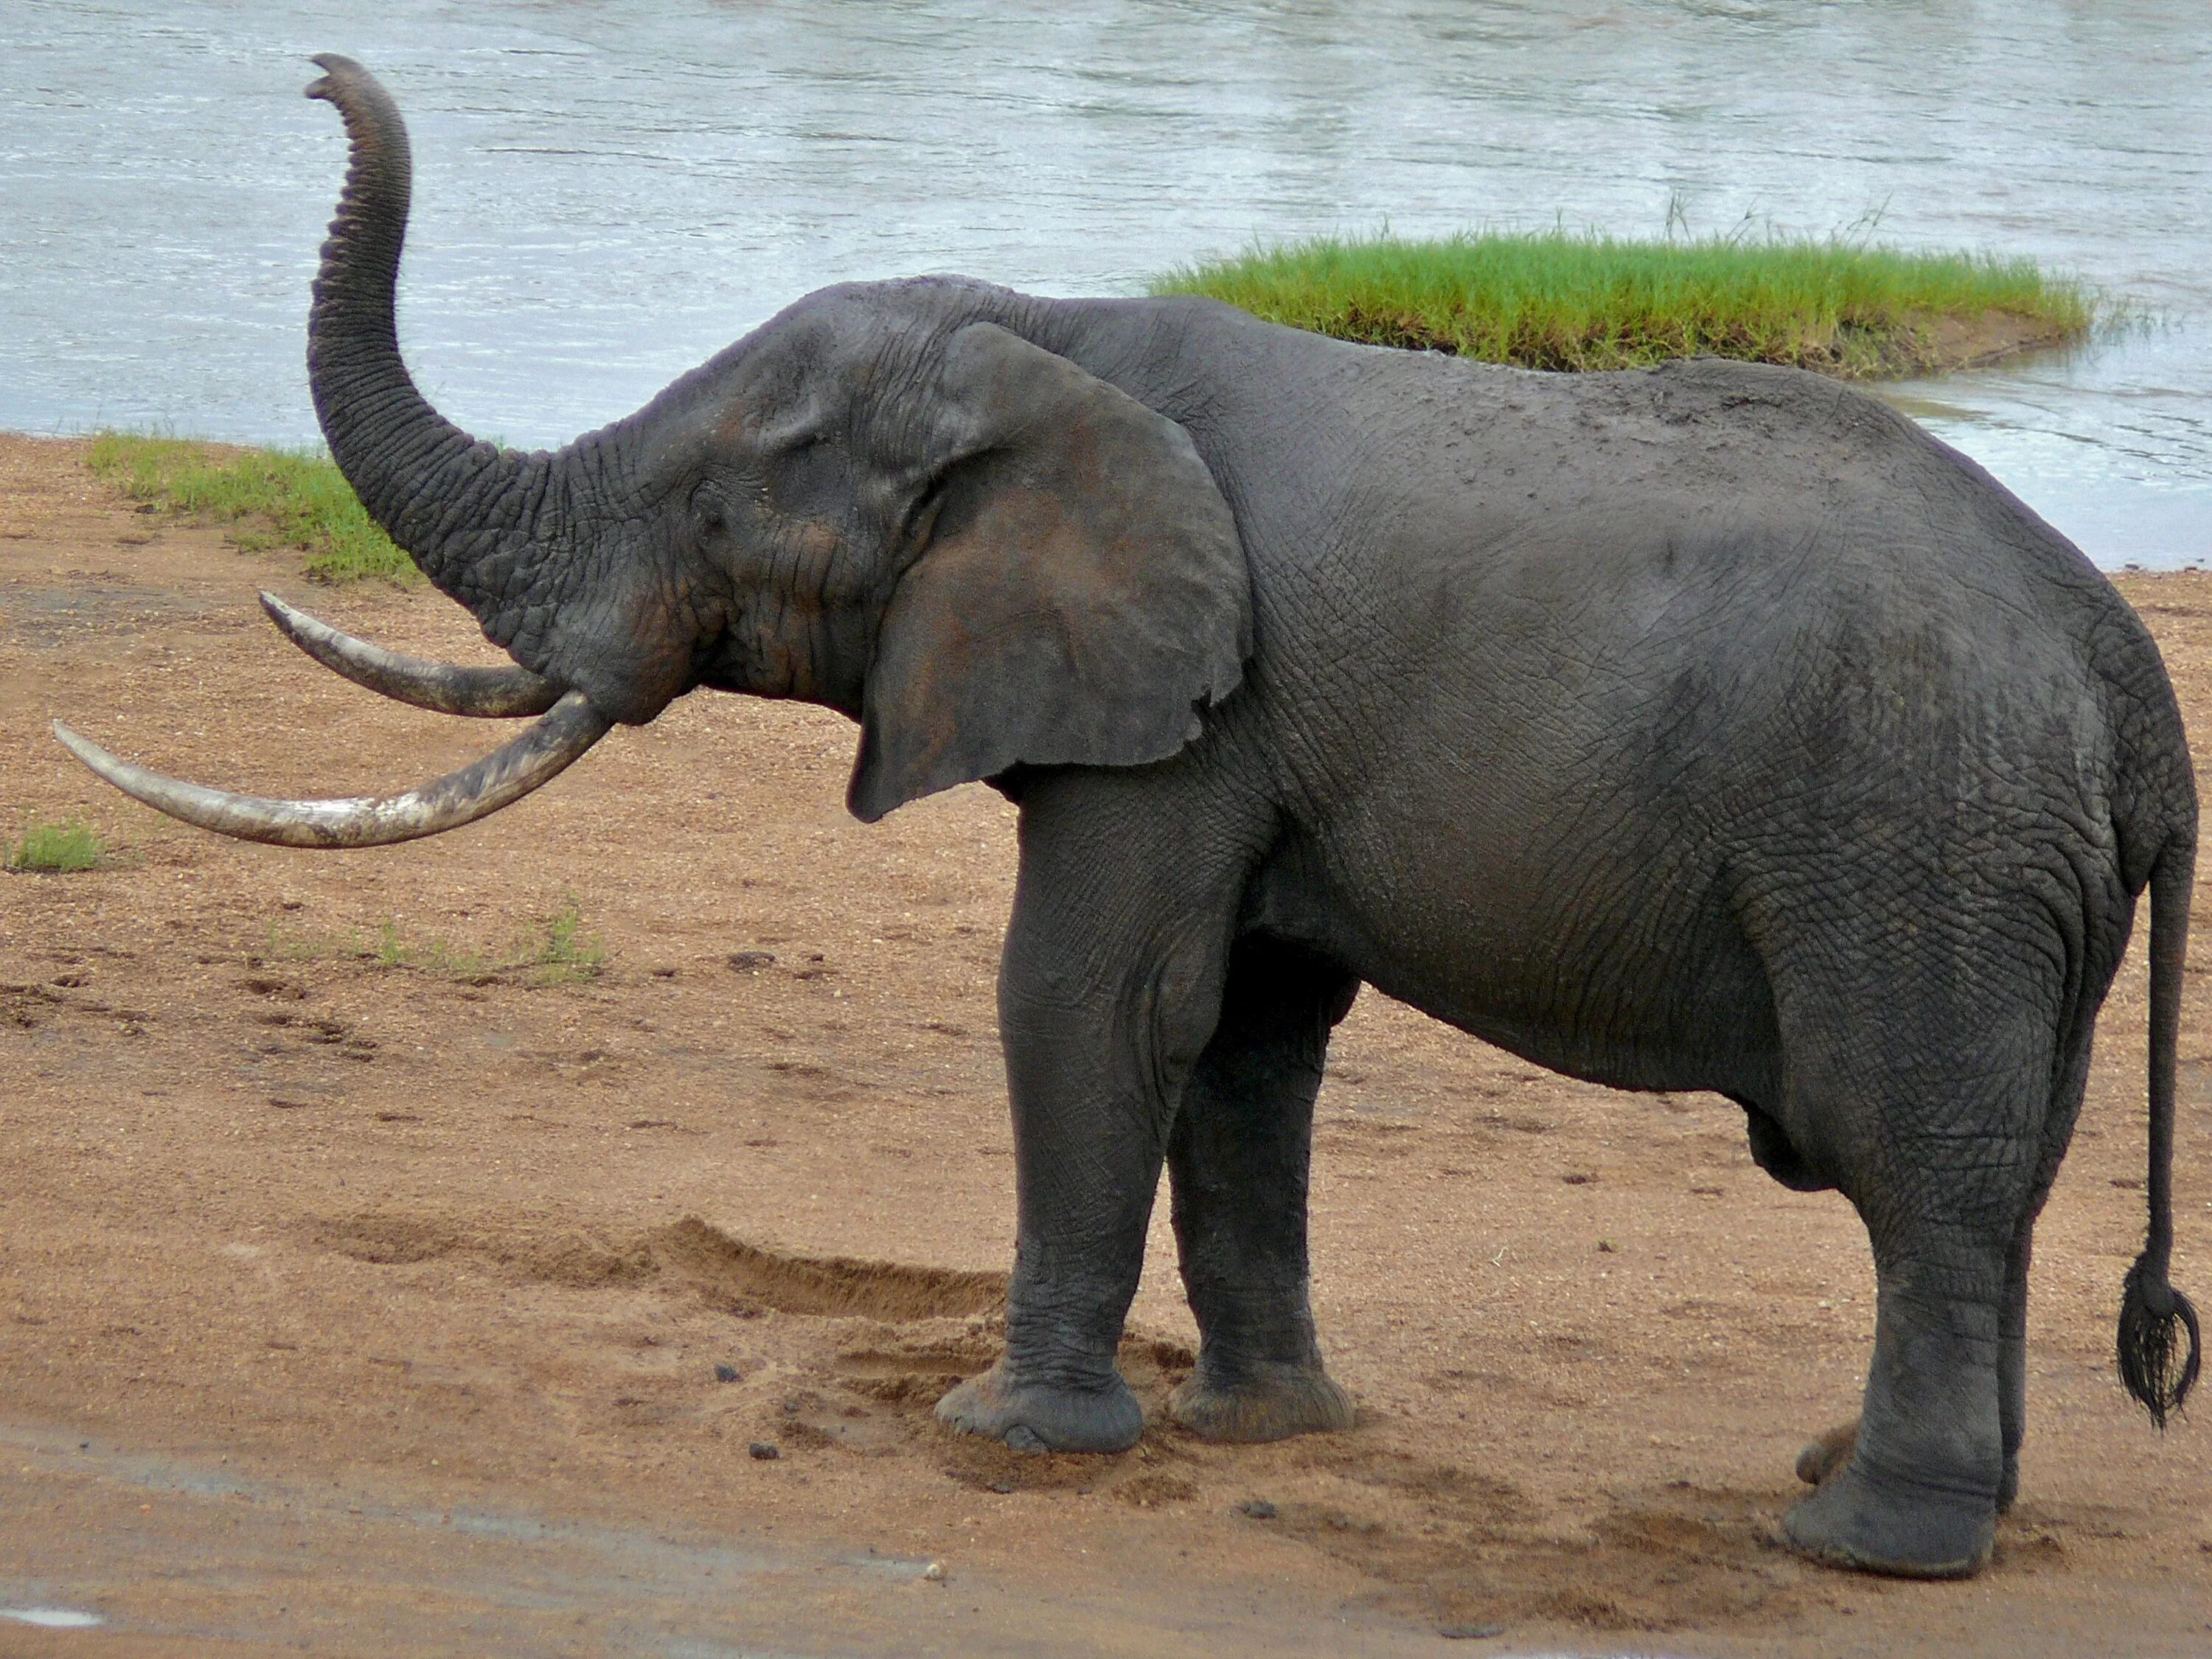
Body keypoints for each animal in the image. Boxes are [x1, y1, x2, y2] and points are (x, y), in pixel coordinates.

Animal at [64, 55, 2194, 1584]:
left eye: (724, 505)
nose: (315, 75)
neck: (1048, 329)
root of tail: (2136, 696)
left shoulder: (1183, 719)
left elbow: (1089, 1001)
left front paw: (1005, 1444)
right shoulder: (1246, 740)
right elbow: (1242, 1040)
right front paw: (1265, 1436)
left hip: (1913, 840)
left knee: (1909, 1150)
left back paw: (1863, 1544)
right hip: (2000, 870)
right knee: (2001, 1162)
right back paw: (1896, 1493)